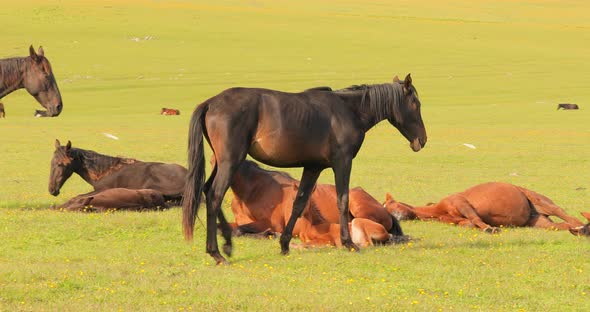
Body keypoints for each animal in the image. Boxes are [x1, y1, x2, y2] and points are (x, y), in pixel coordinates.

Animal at [384, 182, 588, 233]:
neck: (438, 210)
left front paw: (490, 229)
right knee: (562, 225)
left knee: (566, 215)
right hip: (538, 221)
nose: (396, 218)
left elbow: (475, 218)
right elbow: (468, 223)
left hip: (541, 202)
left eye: (389, 204)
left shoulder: (462, 203)